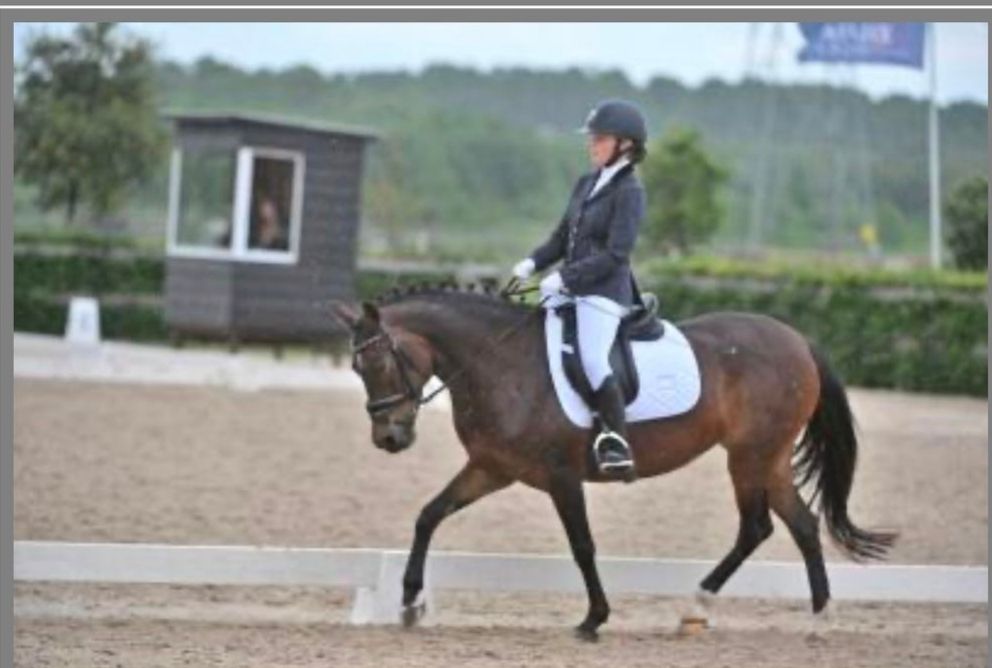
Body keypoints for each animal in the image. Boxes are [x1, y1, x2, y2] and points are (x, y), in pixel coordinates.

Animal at [330, 283, 896, 640]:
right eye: (356, 368)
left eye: (377, 362)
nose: (389, 437)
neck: (499, 364)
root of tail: (796, 338)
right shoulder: (494, 469)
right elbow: (429, 515)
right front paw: (409, 601)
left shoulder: (561, 477)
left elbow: (582, 546)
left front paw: (593, 619)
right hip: (766, 459)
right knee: (795, 525)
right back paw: (794, 615)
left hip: (751, 456)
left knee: (761, 526)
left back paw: (737, 608)